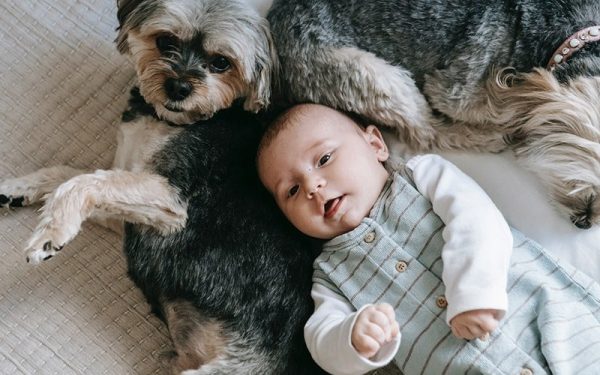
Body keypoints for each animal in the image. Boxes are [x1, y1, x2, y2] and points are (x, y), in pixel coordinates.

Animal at [266, 0, 600, 231]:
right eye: (578, 180)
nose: (585, 222)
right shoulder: (454, 90)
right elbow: (503, 109)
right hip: (368, 73)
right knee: (428, 131)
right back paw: (488, 138)